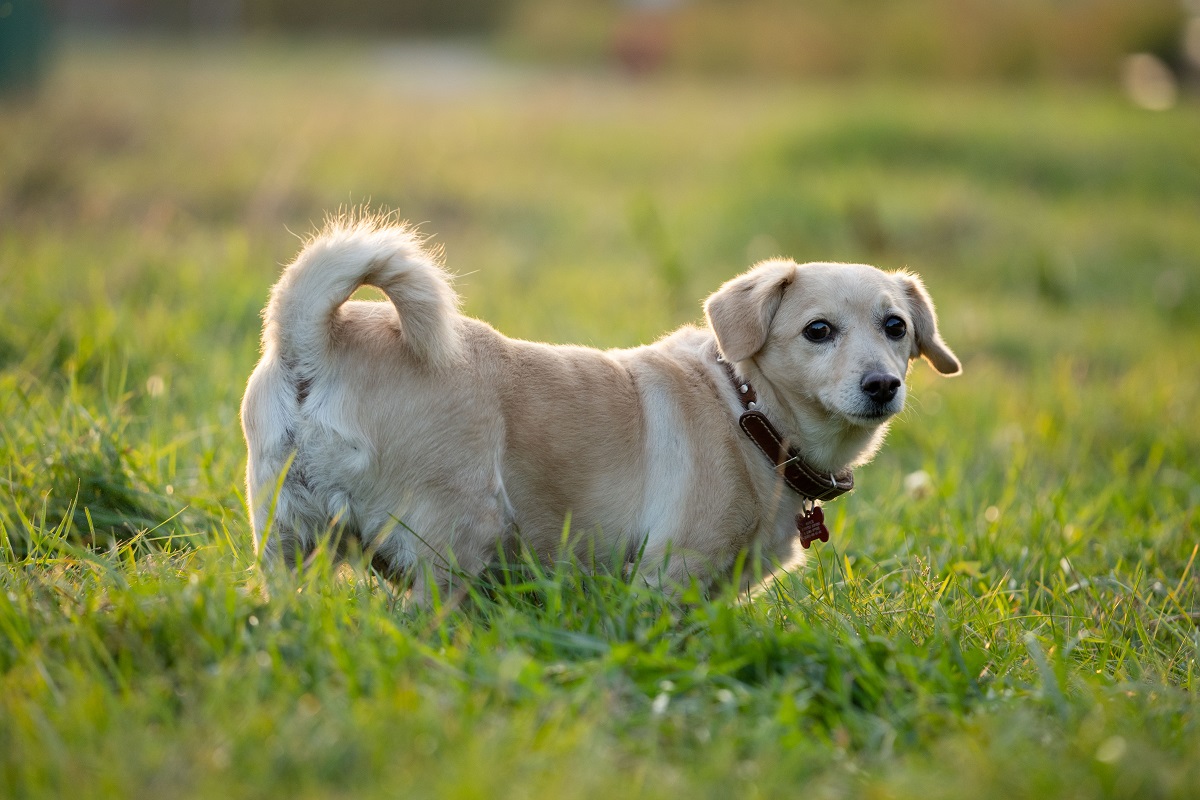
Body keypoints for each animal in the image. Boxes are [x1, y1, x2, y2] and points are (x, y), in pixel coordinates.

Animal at [238, 215, 960, 604]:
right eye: (817, 331)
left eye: (896, 328)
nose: (882, 385)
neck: (748, 410)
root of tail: (314, 338)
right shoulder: (672, 574)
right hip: (459, 535)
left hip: (286, 538)